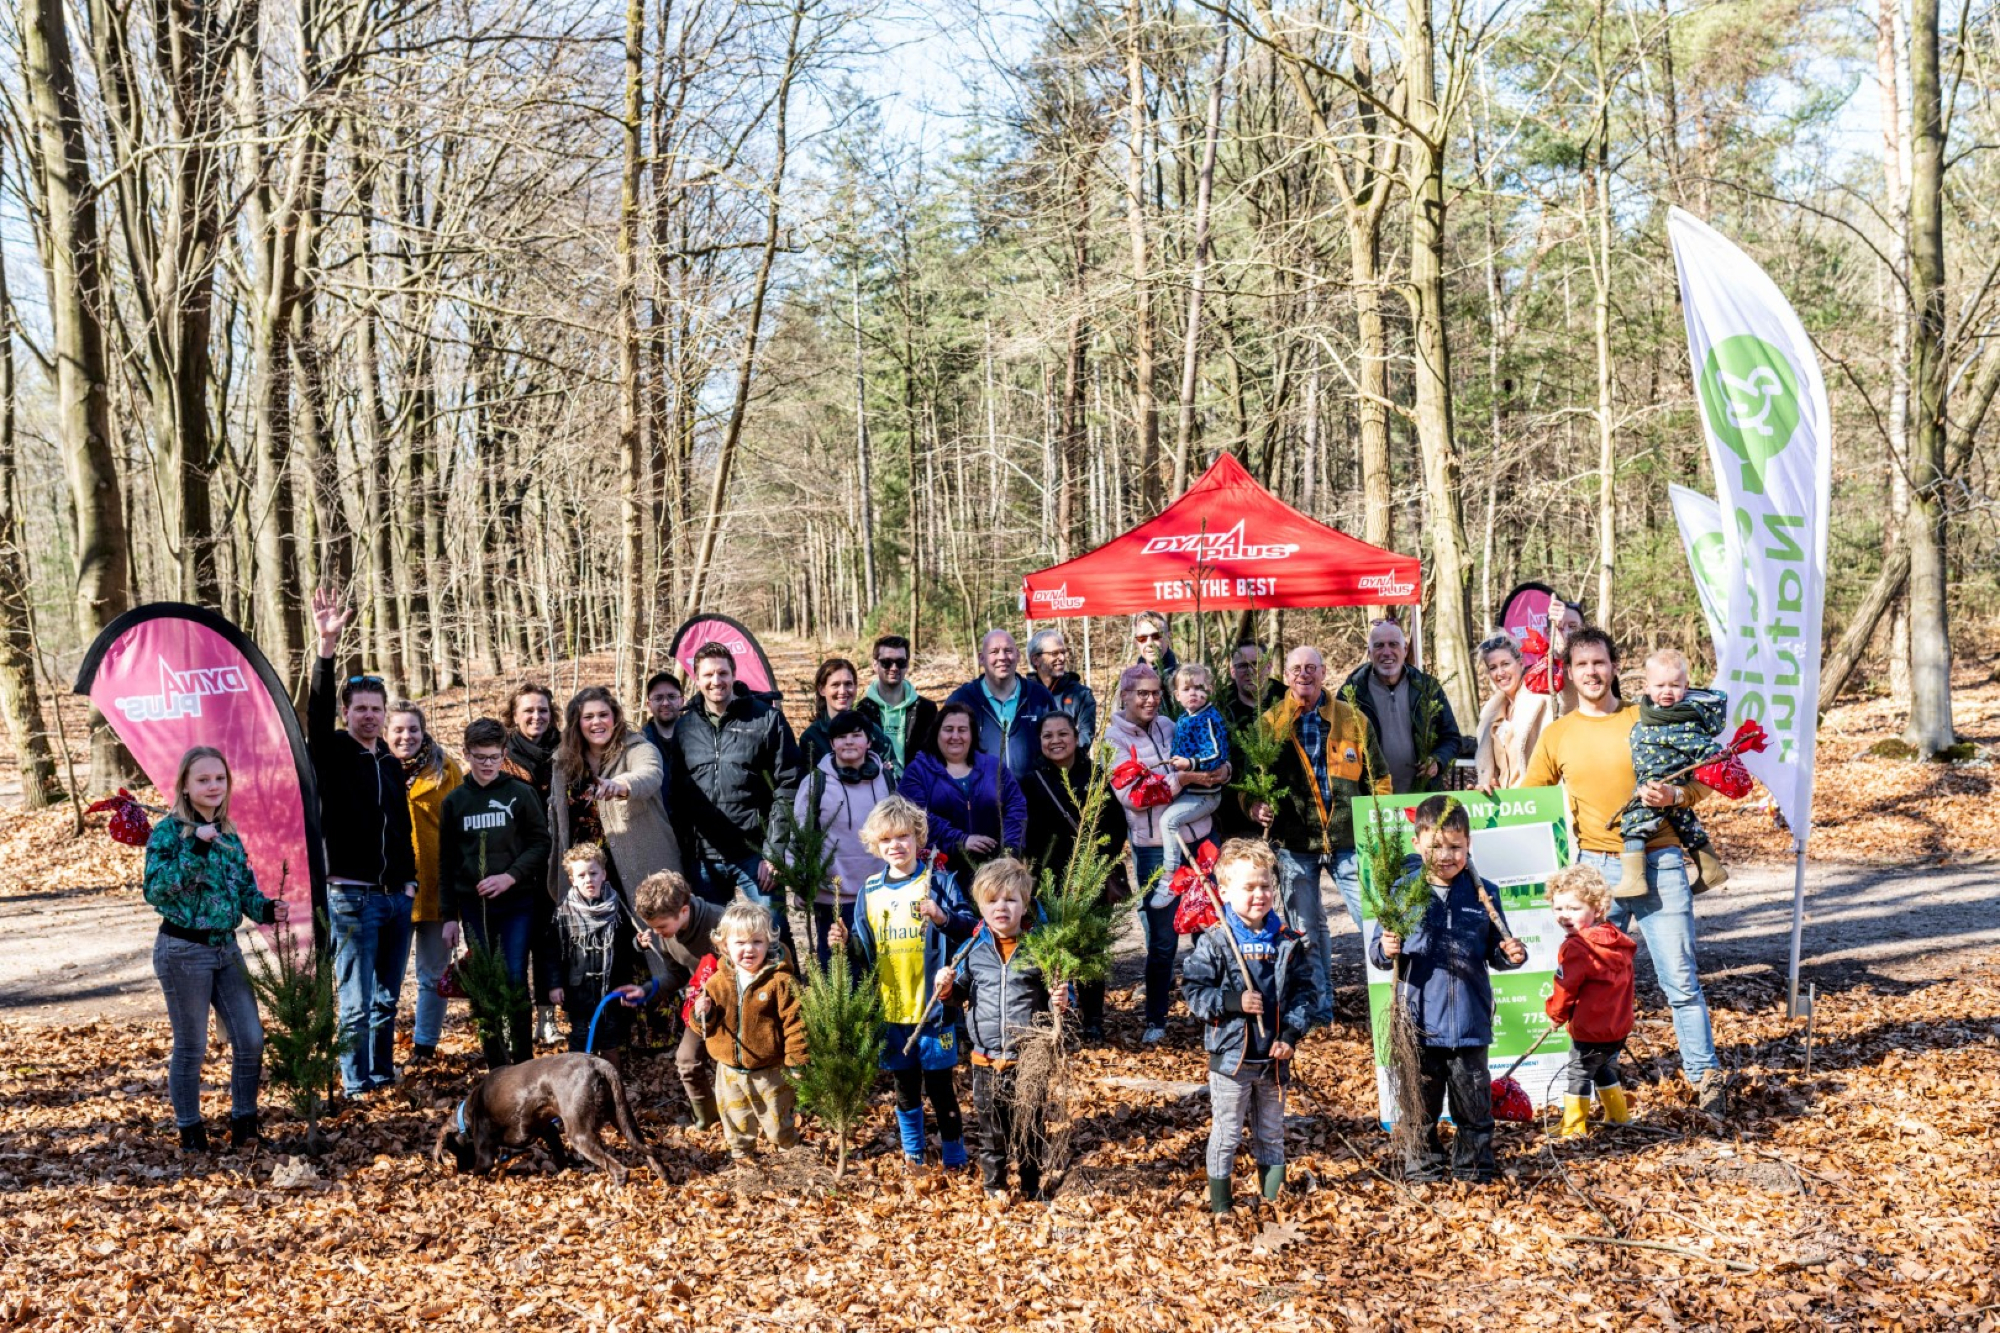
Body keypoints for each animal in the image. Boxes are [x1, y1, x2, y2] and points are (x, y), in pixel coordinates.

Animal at [430, 1056, 664, 1176]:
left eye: (452, 1150)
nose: (458, 1170)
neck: (467, 1116)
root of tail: (599, 1064)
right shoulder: (547, 1129)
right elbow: (559, 1155)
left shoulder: (485, 1153)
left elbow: (482, 1169)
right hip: (624, 1120)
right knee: (650, 1151)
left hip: (579, 1134)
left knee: (619, 1170)